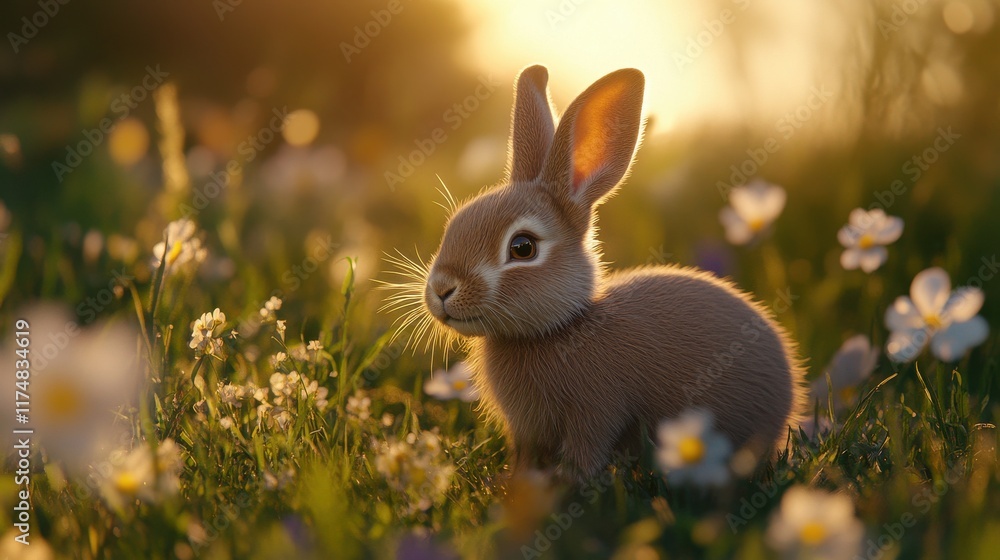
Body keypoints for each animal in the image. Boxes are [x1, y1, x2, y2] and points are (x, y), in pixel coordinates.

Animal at [414, 65, 807, 482]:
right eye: (455, 223)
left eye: (522, 247)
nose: (441, 289)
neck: (558, 328)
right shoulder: (526, 432)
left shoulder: (596, 411)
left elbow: (587, 449)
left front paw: (569, 482)